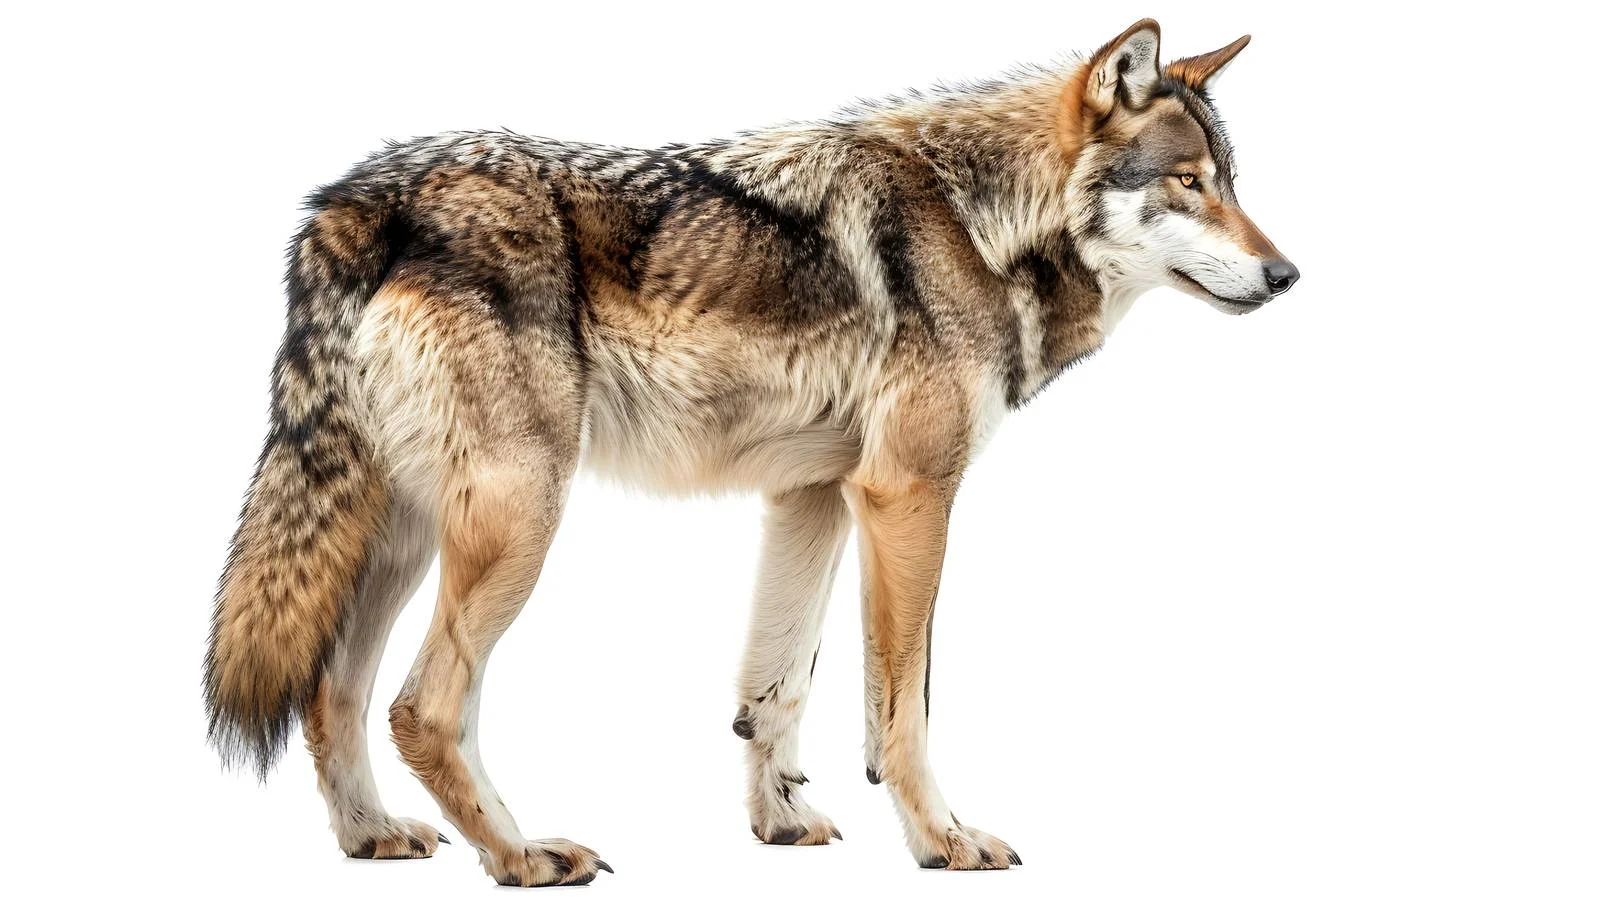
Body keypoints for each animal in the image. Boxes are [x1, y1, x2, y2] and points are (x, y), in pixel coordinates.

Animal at [205, 18, 1298, 885]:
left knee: (330, 690)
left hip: (403, 533)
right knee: (423, 707)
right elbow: (904, 705)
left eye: (1234, 185)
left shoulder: (811, 494)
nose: (1287, 274)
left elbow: (776, 687)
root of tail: (359, 196)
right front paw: (943, 840)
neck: (978, 223)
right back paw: (522, 855)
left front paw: (780, 824)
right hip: (516, 520)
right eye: (1190, 184)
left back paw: (373, 836)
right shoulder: (907, 492)